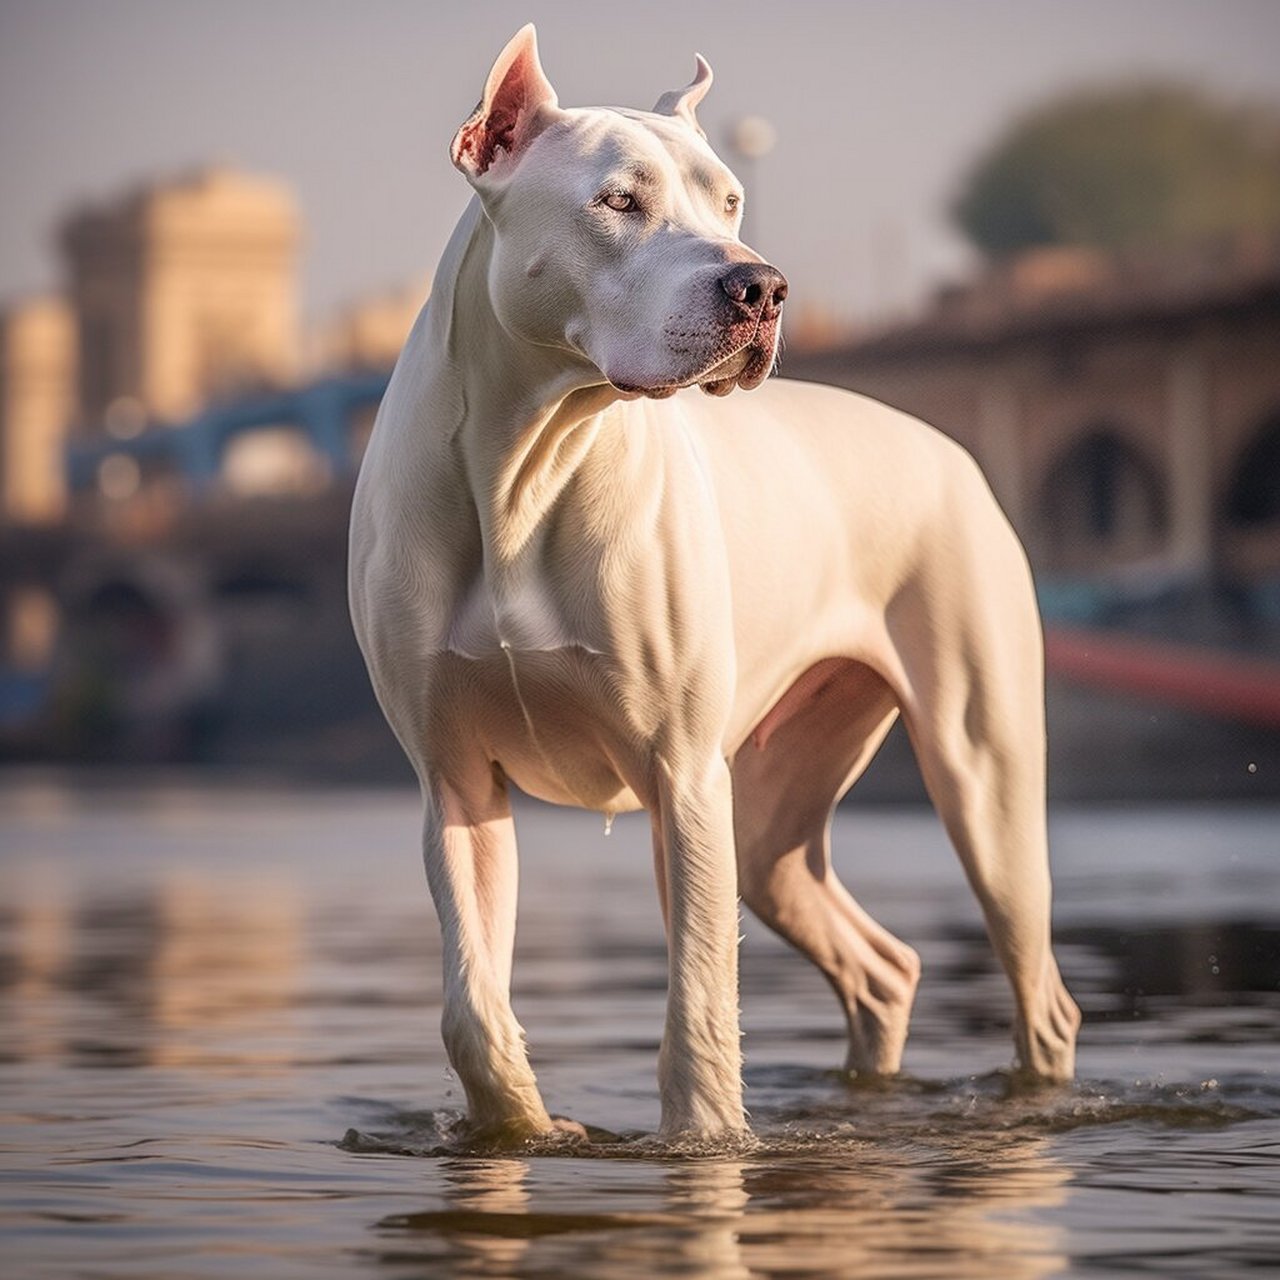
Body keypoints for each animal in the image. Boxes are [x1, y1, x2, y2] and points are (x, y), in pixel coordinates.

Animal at [345, 22, 1075, 1141]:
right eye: (617, 201)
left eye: (729, 201)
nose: (761, 287)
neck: (526, 465)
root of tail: (947, 448)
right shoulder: (455, 778)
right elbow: (471, 1006)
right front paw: (527, 1127)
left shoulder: (682, 777)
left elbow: (697, 1003)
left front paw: (706, 1142)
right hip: (772, 819)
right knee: (882, 965)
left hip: (980, 776)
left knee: (1039, 990)